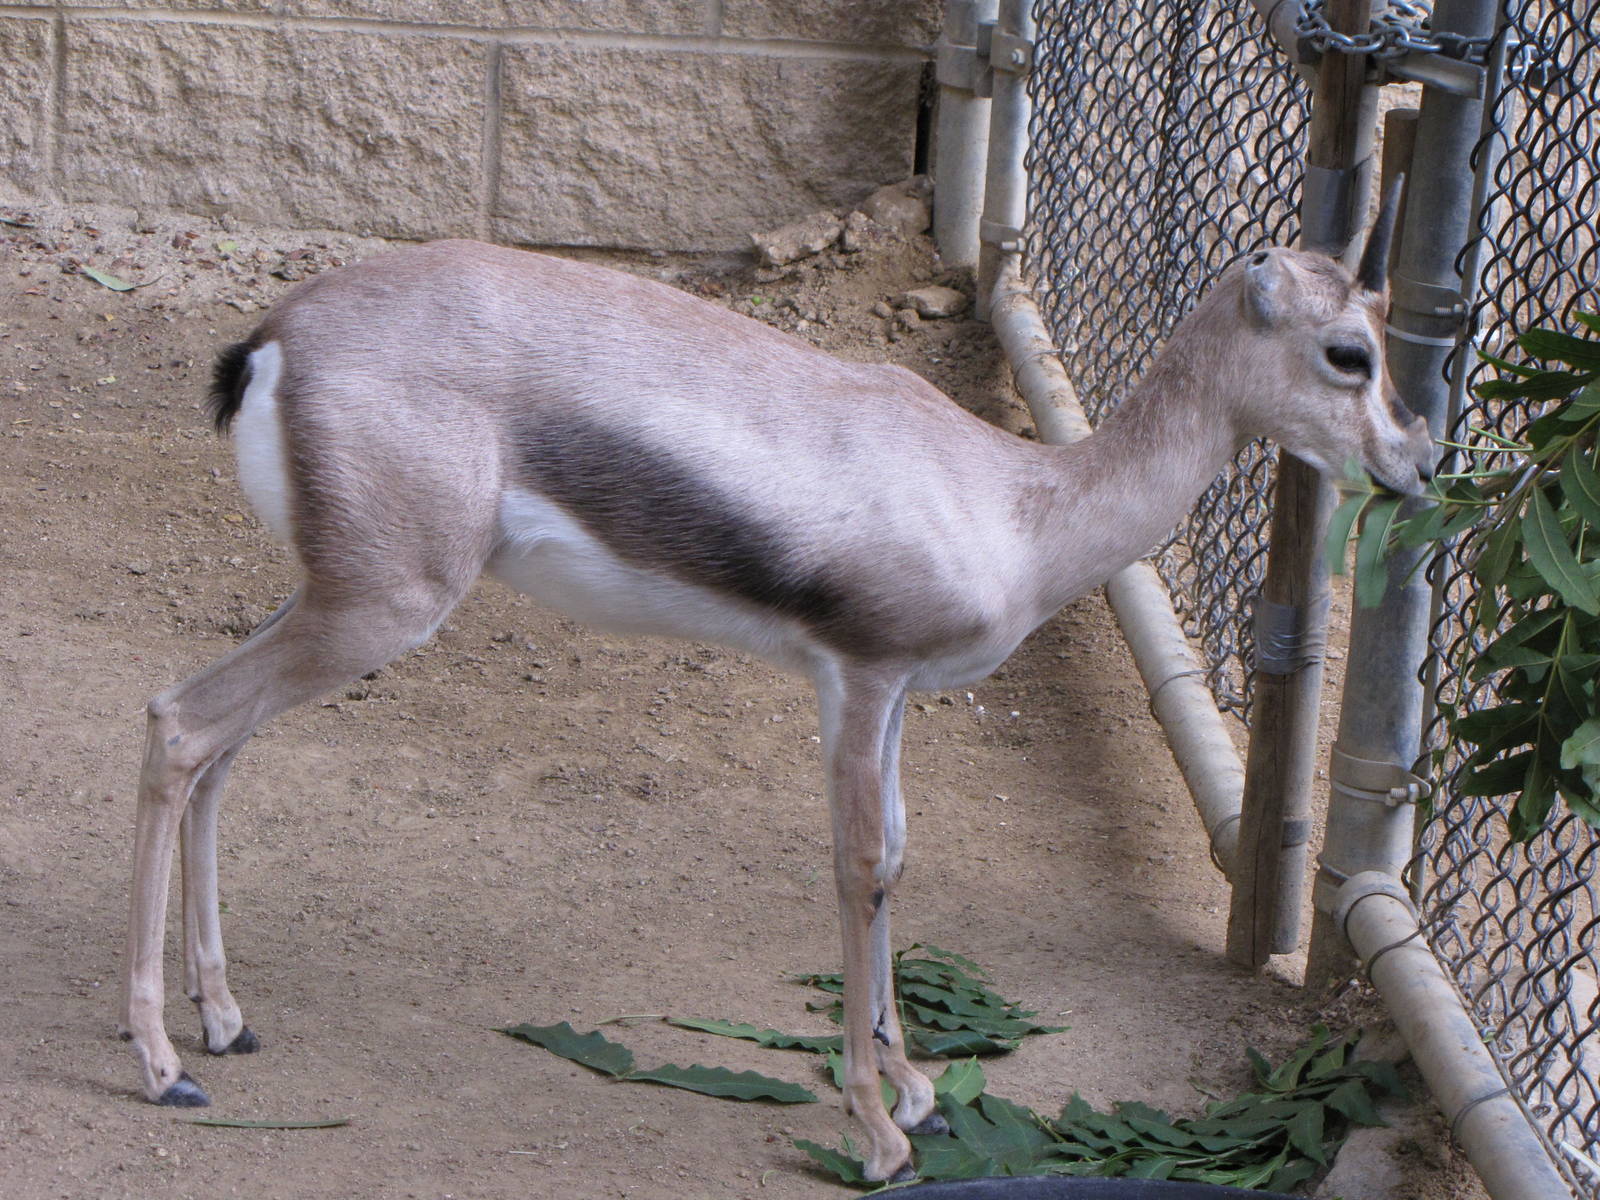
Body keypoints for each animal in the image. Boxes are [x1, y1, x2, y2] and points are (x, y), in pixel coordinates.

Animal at [118, 190, 1431, 1183]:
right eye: (1347, 352)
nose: (1416, 464)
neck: (1018, 503)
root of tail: (275, 334)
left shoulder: (891, 695)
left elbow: (898, 854)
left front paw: (913, 1087)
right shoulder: (858, 678)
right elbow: (859, 867)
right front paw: (875, 1127)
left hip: (339, 601)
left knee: (223, 745)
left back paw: (223, 1021)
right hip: (382, 606)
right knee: (181, 721)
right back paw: (163, 1064)